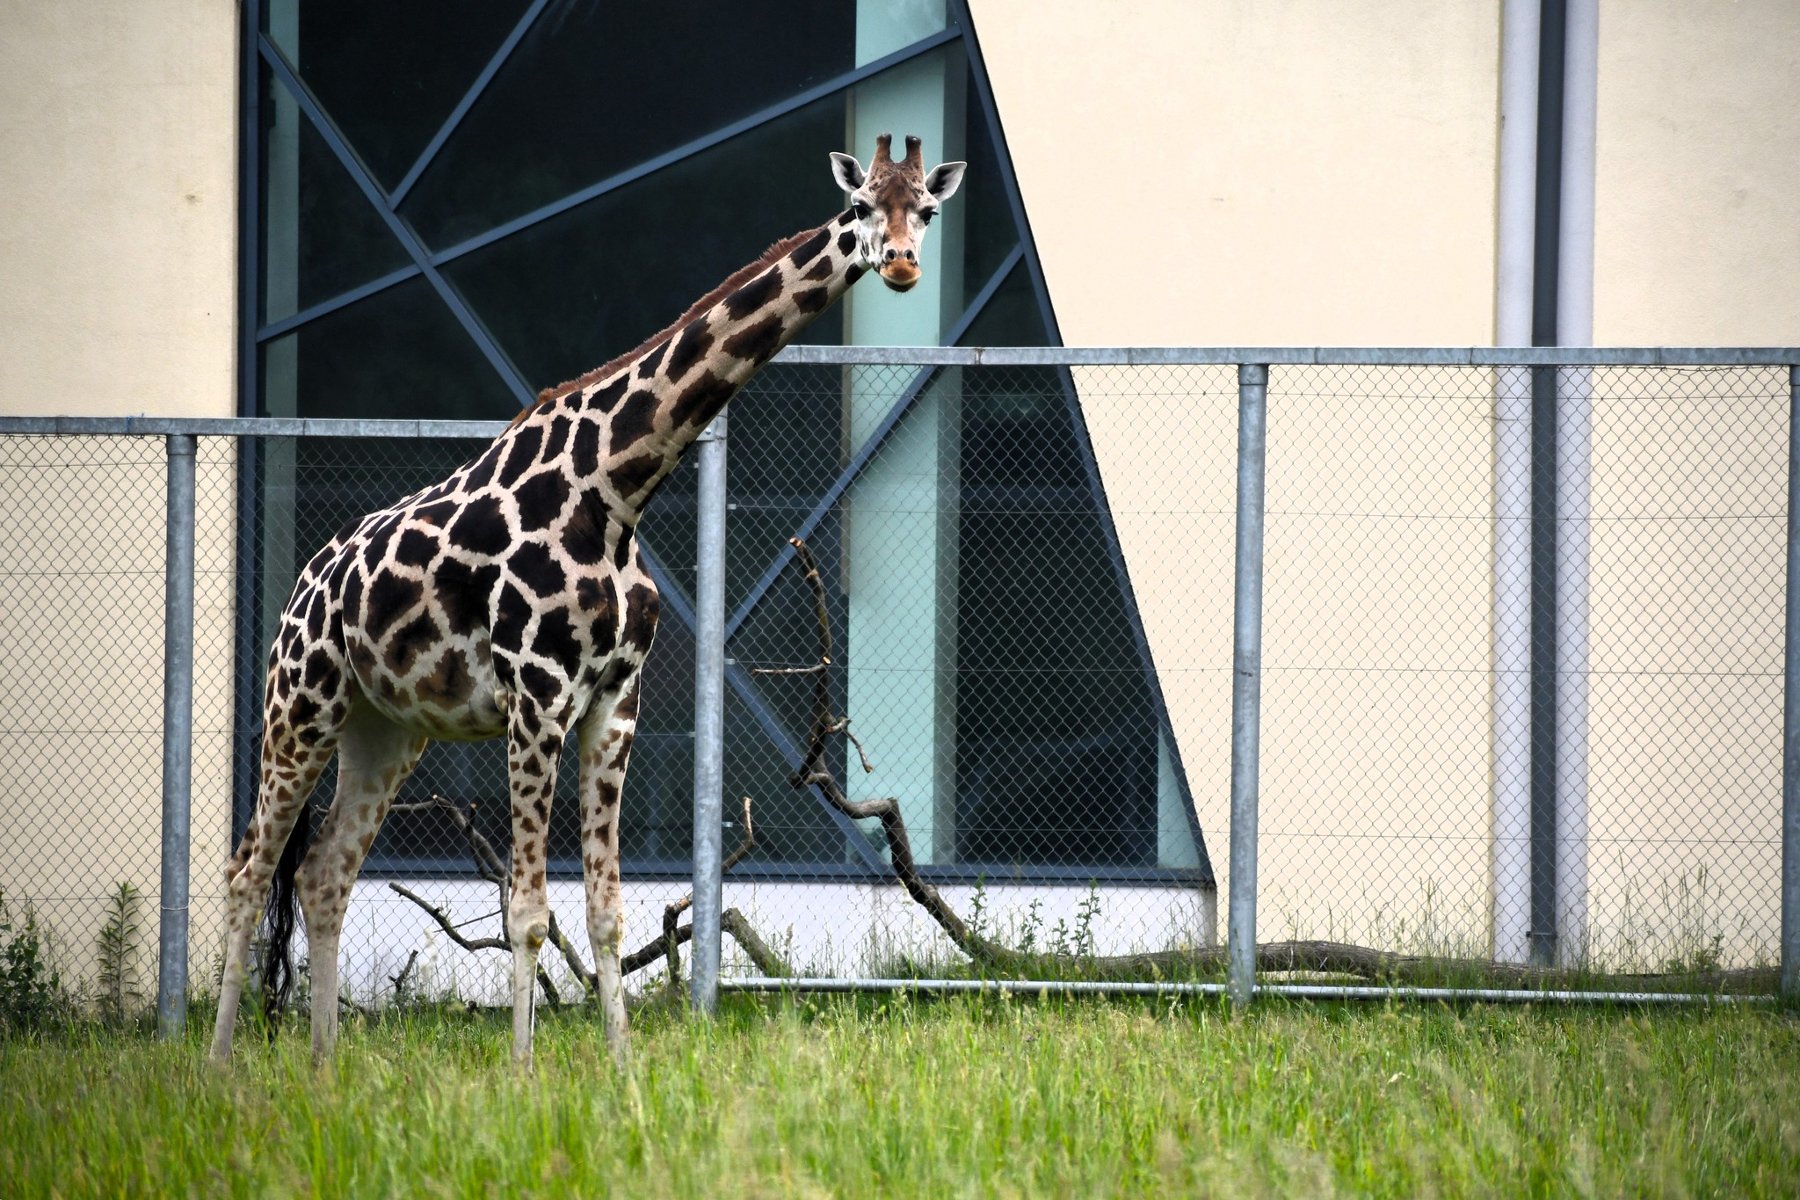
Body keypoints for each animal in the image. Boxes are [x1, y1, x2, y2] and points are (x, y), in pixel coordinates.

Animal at [207, 134, 972, 1072]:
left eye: (927, 210)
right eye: (862, 205)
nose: (899, 263)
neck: (615, 489)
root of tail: (303, 584)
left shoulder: (614, 700)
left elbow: (607, 912)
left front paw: (624, 1076)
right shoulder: (536, 695)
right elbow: (529, 914)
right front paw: (523, 1078)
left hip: (385, 729)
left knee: (323, 875)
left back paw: (322, 1071)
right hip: (300, 705)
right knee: (248, 874)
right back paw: (215, 1067)